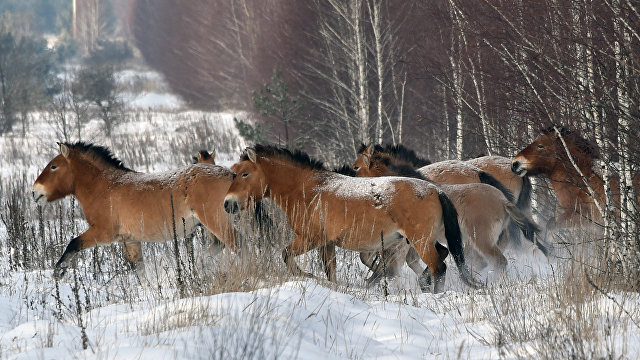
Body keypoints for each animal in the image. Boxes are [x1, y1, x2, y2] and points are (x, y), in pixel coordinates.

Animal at [32, 142, 238, 280]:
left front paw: (59, 271)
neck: (104, 187)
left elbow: (73, 244)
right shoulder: (130, 241)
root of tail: (232, 176)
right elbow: (139, 271)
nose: (34, 192)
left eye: (53, 166)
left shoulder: (102, 233)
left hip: (217, 223)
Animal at [222, 145, 478, 294]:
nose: (227, 203)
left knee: (439, 267)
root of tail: (436, 191)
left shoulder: (310, 239)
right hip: (423, 240)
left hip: (420, 241)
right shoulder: (326, 244)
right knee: (442, 256)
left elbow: (286, 255)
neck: (308, 190)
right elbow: (330, 270)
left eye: (244, 173)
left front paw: (307, 276)